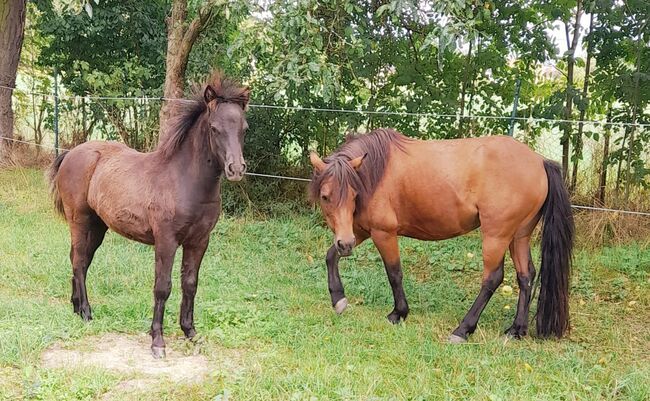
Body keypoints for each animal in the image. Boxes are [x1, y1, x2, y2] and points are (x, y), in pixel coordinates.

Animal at [46, 71, 249, 356]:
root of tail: (71, 153)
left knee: (81, 261)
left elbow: (190, 284)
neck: (184, 180)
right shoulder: (166, 240)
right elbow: (162, 287)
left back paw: (76, 307)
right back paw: (86, 312)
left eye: (244, 128)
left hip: (98, 226)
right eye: (214, 128)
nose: (236, 169)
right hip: (79, 220)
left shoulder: (199, 241)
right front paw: (157, 341)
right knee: (78, 260)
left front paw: (191, 333)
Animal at [308, 128, 572, 340]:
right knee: (526, 276)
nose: (346, 244)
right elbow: (330, 255)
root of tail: (540, 161)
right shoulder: (360, 231)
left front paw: (398, 313)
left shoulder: (383, 233)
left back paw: (463, 329)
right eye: (325, 196)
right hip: (518, 236)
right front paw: (339, 300)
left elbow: (394, 273)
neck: (376, 172)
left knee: (492, 279)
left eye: (353, 195)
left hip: (496, 236)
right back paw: (516, 330)